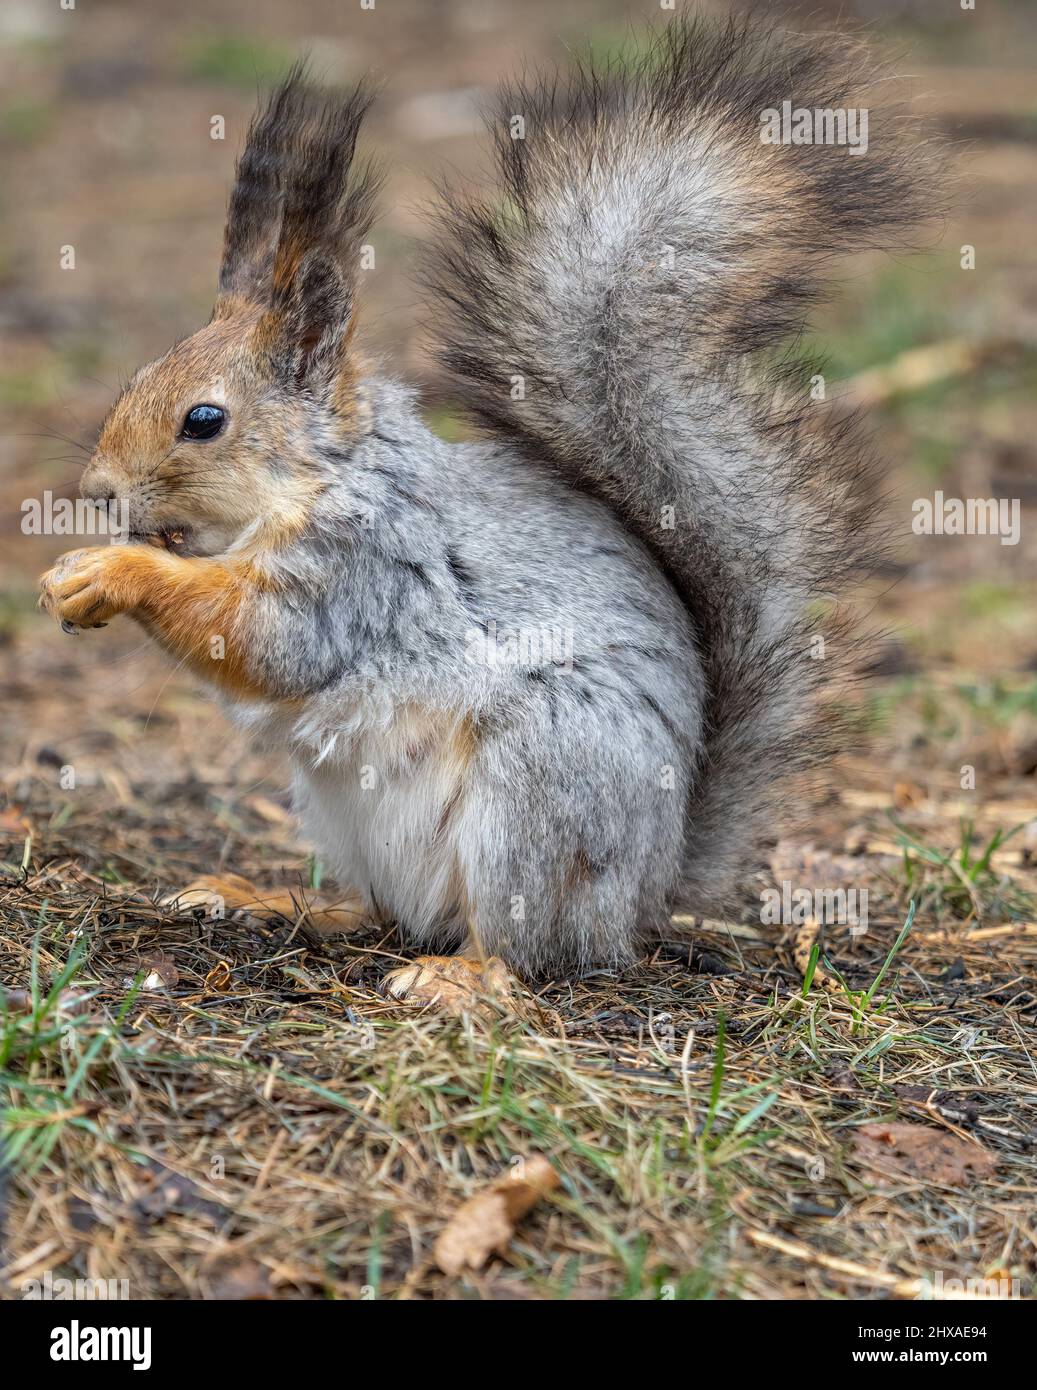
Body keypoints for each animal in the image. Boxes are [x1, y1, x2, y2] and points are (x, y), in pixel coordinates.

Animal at [40, 19, 934, 1000]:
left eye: (204, 420)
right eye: (135, 378)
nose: (97, 493)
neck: (318, 479)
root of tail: (644, 892)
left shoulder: (360, 570)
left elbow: (265, 639)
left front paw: (114, 570)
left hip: (537, 784)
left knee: (524, 947)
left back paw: (458, 980)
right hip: (346, 816)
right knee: (384, 913)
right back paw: (270, 900)